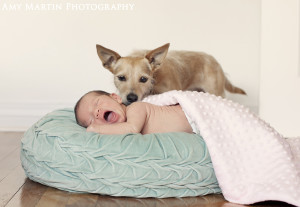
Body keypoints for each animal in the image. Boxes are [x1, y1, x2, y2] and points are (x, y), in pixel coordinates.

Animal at [96, 43, 246, 105]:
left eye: (143, 79)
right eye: (121, 78)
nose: (132, 97)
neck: (154, 83)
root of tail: (216, 62)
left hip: (216, 92)